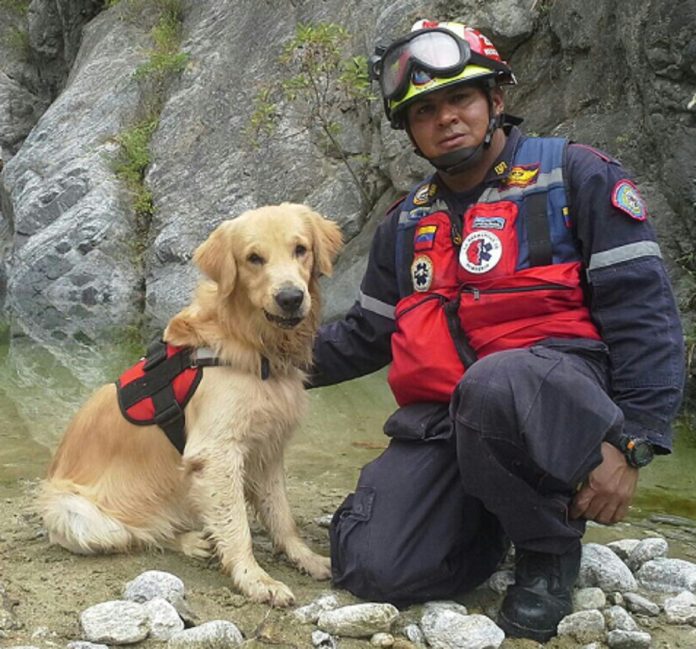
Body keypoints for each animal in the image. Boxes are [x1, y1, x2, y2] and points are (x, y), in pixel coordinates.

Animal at [38, 204, 342, 608]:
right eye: (254, 258)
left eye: (301, 249)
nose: (291, 297)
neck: (251, 343)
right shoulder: (216, 452)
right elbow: (237, 525)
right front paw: (255, 579)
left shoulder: (268, 448)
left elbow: (281, 515)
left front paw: (306, 558)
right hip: (74, 512)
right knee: (140, 534)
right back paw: (190, 540)